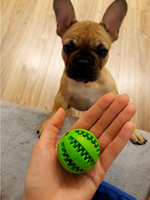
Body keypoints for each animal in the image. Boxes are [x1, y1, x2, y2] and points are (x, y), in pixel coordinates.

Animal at [37, 0, 146, 145]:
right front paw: (48, 123)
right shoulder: (62, 96)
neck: (86, 83)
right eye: (67, 47)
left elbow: (124, 115)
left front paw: (134, 132)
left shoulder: (113, 96)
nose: (83, 61)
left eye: (103, 51)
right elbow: (56, 110)